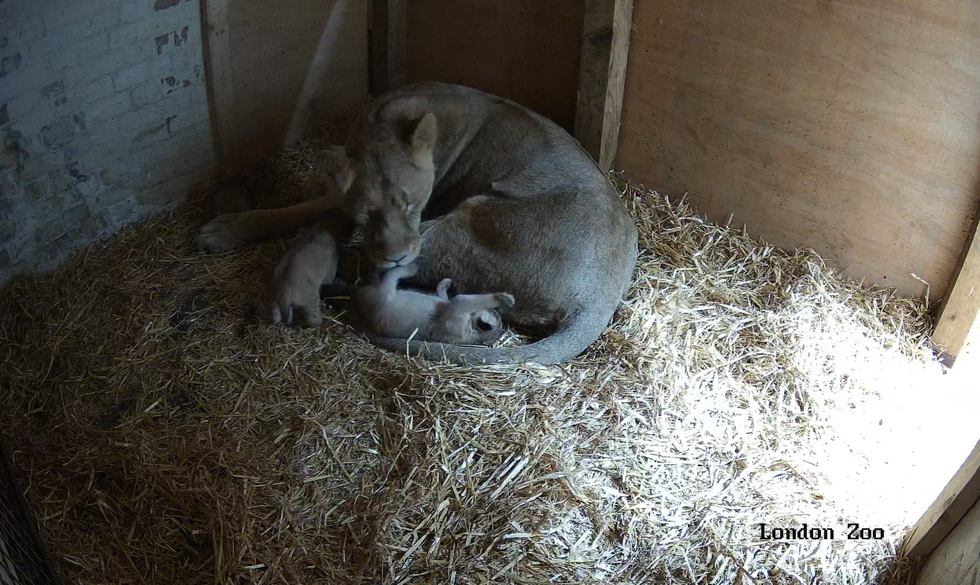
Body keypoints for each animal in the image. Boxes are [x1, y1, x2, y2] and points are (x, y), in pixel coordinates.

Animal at [195, 82, 639, 365]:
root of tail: (600, 296)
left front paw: (221, 229)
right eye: (367, 214)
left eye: (412, 203)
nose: (395, 255)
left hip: (455, 229)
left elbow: (308, 207)